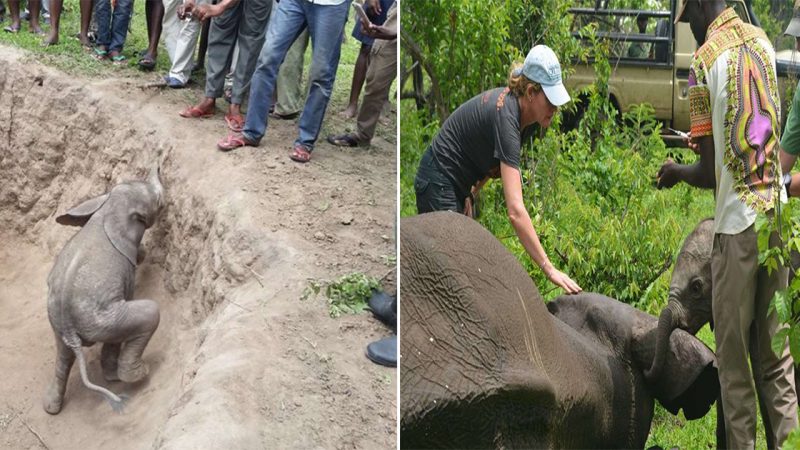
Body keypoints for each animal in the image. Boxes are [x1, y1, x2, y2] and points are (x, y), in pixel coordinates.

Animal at [43, 166, 165, 414]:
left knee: (63, 354)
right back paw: (133, 377)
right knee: (147, 314)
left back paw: (51, 408)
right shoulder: (125, 274)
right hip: (101, 318)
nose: (157, 167)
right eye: (159, 203)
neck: (109, 209)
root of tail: (70, 329)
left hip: (57, 320)